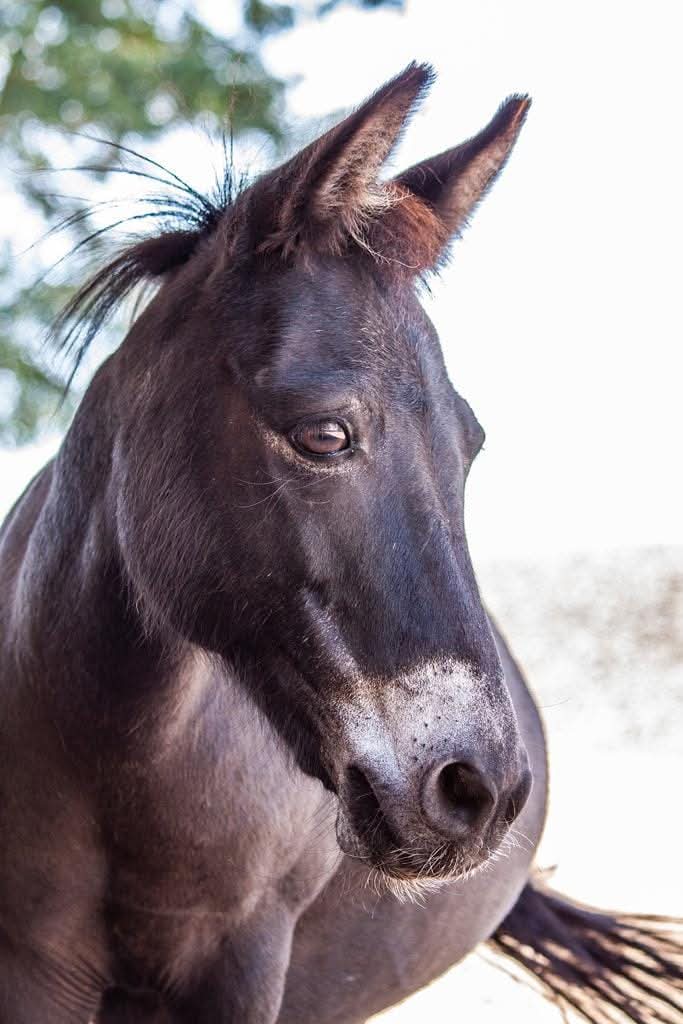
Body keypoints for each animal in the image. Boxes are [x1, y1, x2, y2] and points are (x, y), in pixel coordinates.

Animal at [0, 63, 680, 1024]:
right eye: (325, 435)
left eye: (470, 446)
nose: (479, 791)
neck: (113, 767)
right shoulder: (24, 966)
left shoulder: (240, 965)